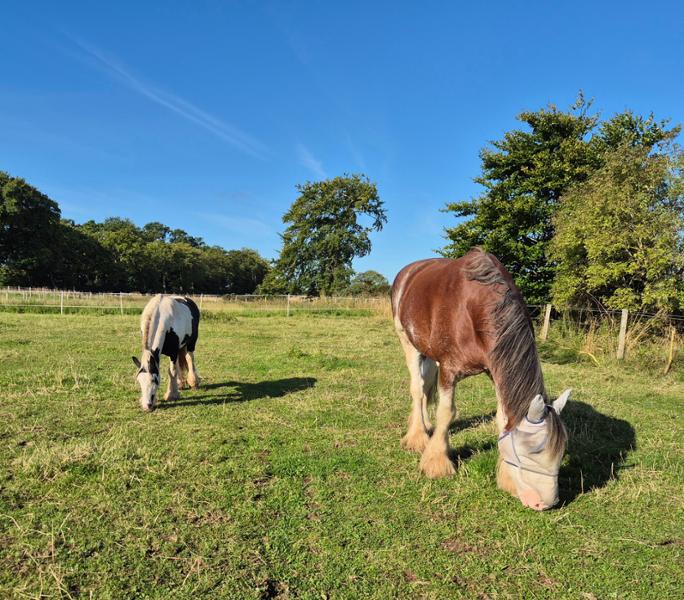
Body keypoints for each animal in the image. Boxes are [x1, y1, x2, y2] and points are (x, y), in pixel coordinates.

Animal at [392, 248, 568, 510]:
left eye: (562, 452)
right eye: (531, 452)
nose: (544, 504)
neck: (475, 307)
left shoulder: (495, 369)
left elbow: (503, 418)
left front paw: (507, 480)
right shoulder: (449, 370)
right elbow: (446, 412)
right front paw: (436, 462)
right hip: (407, 341)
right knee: (417, 388)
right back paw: (417, 437)